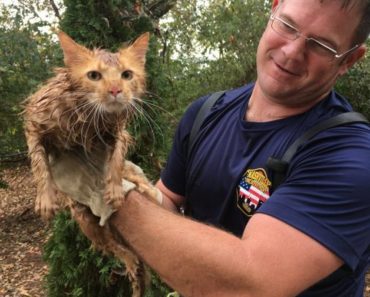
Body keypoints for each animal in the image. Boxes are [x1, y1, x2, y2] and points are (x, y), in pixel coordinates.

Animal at [21, 30, 158, 296]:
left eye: (127, 75)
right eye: (94, 75)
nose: (115, 90)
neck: (85, 117)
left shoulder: (119, 133)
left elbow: (116, 160)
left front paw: (115, 188)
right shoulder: (34, 123)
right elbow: (39, 164)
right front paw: (45, 198)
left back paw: (146, 189)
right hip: (86, 220)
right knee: (115, 248)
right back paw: (130, 261)